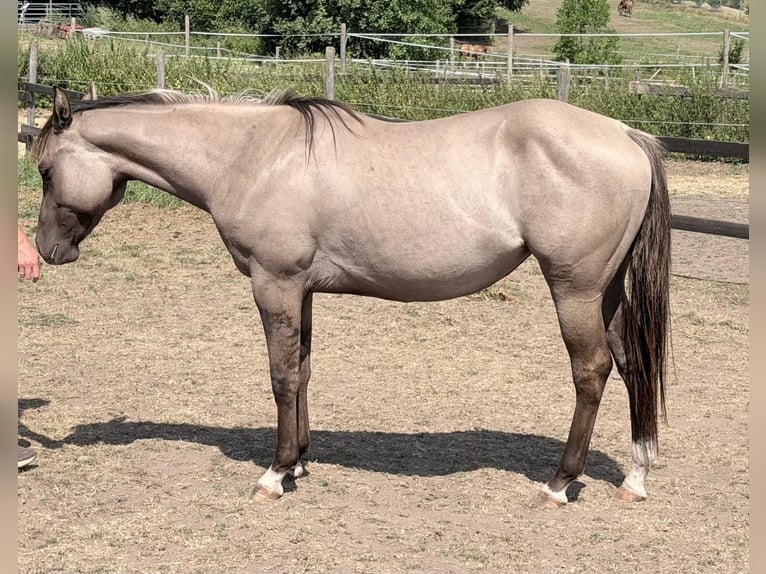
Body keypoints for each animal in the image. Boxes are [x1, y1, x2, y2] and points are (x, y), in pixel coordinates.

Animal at [31, 86, 670, 508]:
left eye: (44, 170)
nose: (46, 250)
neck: (251, 155)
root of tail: (626, 134)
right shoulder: (302, 291)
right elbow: (304, 371)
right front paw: (301, 460)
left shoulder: (275, 284)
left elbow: (281, 375)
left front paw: (275, 473)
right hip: (606, 293)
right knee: (631, 363)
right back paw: (636, 476)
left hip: (575, 290)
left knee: (591, 371)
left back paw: (561, 483)